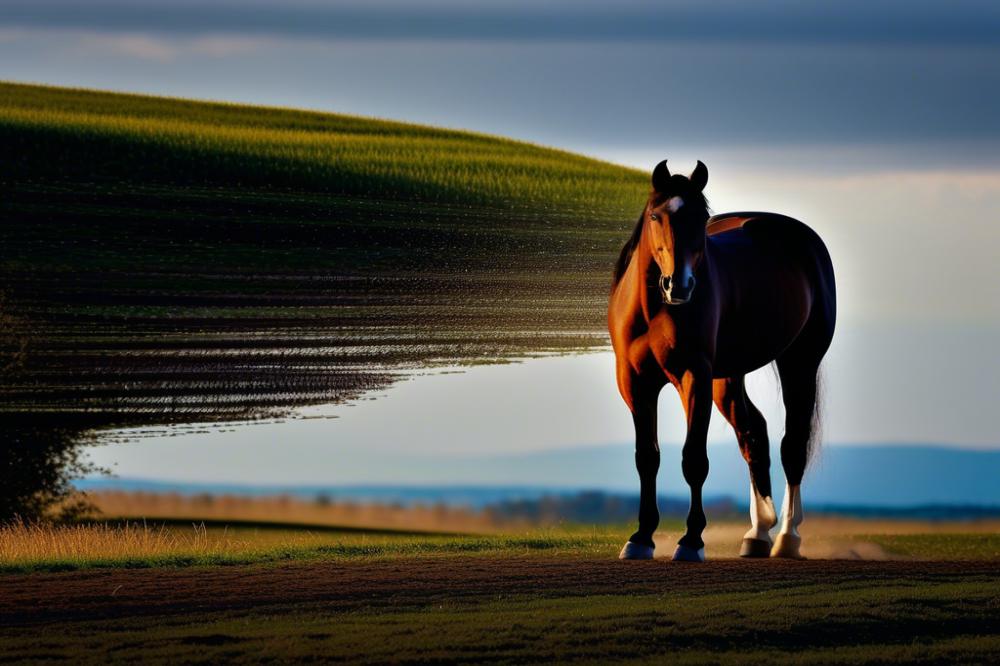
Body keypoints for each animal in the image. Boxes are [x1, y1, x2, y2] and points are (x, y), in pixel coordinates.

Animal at [608, 161, 836, 560]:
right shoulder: (635, 384)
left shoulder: (694, 377)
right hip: (727, 379)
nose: (679, 285)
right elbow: (647, 458)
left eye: (701, 218)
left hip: (799, 362)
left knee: (793, 444)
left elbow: (694, 459)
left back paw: (787, 536)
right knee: (754, 435)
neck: (654, 311)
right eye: (655, 215)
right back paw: (757, 533)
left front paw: (691, 541)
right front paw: (641, 538)